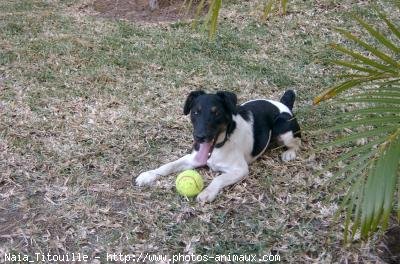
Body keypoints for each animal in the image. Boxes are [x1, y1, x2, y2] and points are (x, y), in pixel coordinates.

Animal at [134, 90, 300, 202]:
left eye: (216, 113)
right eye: (195, 112)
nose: (199, 137)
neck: (221, 144)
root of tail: (284, 104)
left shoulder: (240, 170)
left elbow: (218, 179)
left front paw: (207, 192)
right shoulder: (193, 159)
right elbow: (168, 166)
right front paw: (149, 175)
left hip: (283, 129)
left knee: (297, 141)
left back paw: (290, 153)